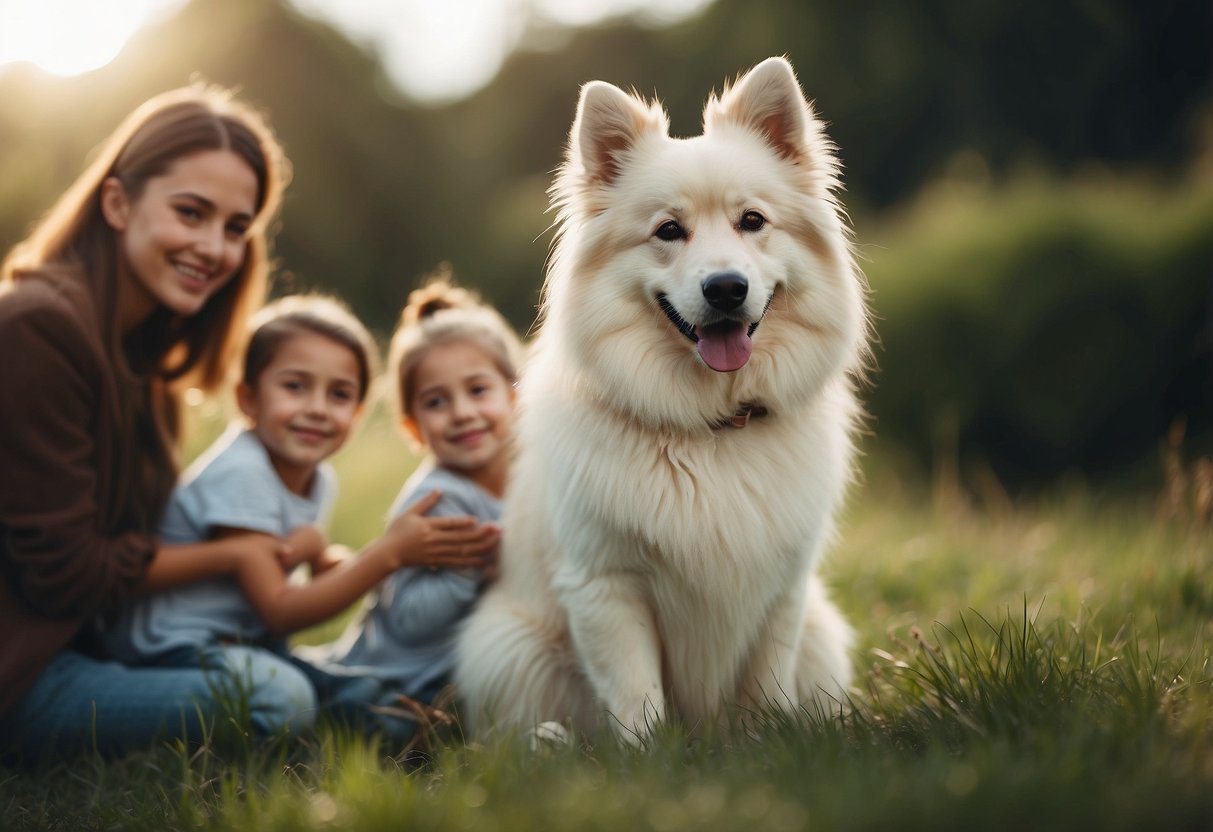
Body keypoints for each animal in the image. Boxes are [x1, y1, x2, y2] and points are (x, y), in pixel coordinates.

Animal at [453, 55, 863, 742]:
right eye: (669, 231)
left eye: (753, 221)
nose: (726, 288)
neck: (711, 424)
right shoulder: (606, 586)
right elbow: (636, 698)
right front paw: (648, 756)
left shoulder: (783, 589)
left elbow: (767, 686)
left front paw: (770, 741)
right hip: (506, 645)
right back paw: (550, 742)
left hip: (821, 630)